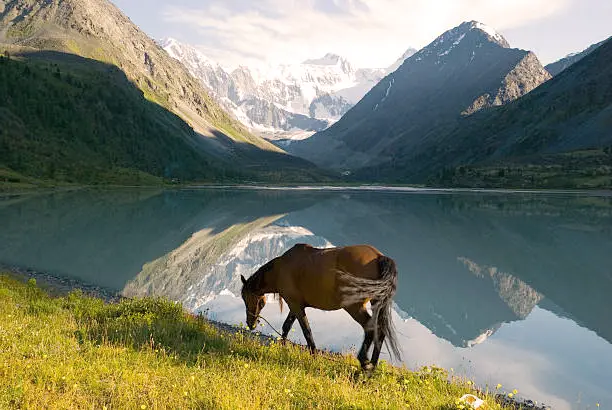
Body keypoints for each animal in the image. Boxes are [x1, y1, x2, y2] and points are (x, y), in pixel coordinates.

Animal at [239, 243, 402, 372]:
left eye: (246, 298)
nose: (251, 324)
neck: (281, 269)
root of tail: (379, 256)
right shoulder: (295, 306)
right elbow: (287, 326)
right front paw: (282, 348)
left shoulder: (295, 305)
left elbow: (306, 331)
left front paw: (313, 356)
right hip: (376, 303)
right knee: (380, 330)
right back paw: (372, 366)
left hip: (354, 307)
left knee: (370, 328)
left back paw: (364, 363)